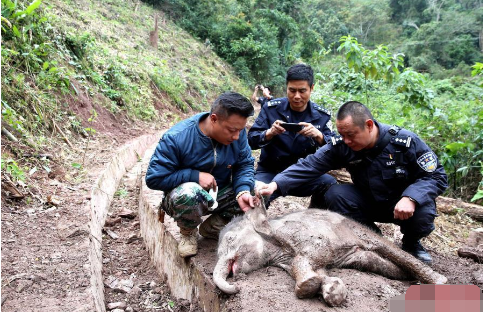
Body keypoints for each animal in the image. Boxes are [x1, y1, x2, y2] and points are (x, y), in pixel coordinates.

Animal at [214, 196, 448, 306]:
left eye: (231, 239)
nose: (236, 287)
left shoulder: (303, 235)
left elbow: (314, 254)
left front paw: (307, 287)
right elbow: (319, 271)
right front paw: (331, 290)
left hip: (359, 230)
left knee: (389, 249)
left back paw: (439, 281)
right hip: (362, 256)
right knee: (381, 264)